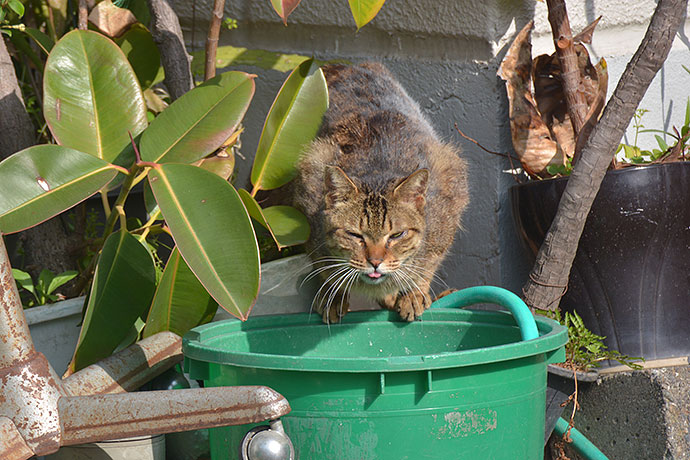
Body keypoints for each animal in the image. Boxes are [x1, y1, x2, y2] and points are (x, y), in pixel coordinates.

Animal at [292, 63, 468, 324]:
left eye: (397, 235)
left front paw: (413, 293)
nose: (375, 262)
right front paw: (333, 294)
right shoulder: (308, 199)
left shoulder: (448, 203)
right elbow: (324, 268)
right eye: (354, 235)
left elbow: (427, 265)